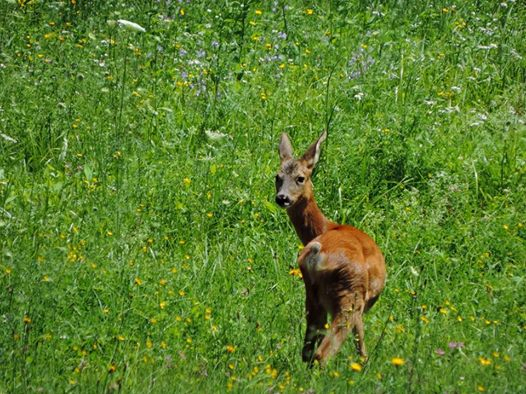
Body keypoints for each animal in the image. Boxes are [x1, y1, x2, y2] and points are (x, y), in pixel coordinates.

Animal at [276, 131, 388, 364]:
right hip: (349, 295)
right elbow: (361, 344)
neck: (326, 227)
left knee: (307, 351)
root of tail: (317, 252)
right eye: (278, 177)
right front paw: (364, 364)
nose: (282, 198)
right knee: (322, 353)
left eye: (300, 178)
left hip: (313, 295)